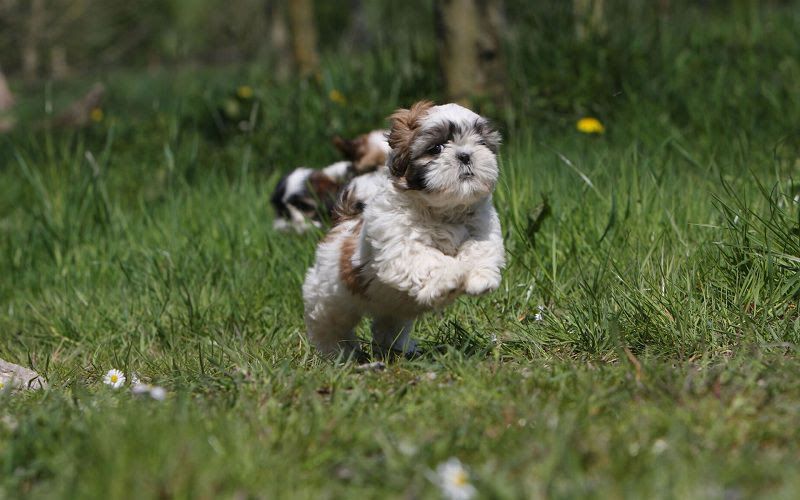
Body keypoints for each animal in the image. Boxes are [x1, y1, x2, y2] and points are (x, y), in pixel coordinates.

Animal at [304, 101, 504, 358]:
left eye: (480, 143)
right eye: (436, 148)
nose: (465, 155)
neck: (443, 211)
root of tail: (343, 221)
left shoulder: (482, 227)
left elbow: (480, 247)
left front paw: (480, 277)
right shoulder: (400, 244)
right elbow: (429, 258)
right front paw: (452, 275)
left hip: (391, 308)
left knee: (388, 324)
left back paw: (398, 347)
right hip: (332, 295)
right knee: (328, 321)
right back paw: (338, 353)